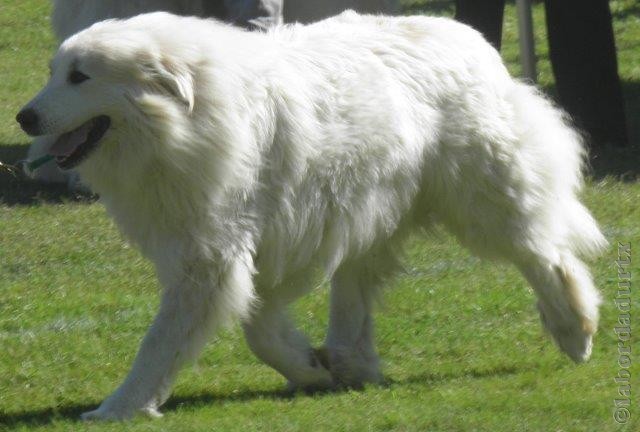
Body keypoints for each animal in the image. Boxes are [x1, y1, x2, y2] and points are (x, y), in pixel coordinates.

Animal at [16, 11, 604, 420]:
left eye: (80, 76)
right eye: (53, 72)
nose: (24, 117)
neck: (186, 122)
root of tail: (467, 37)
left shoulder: (212, 259)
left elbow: (161, 343)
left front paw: (118, 408)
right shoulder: (230, 252)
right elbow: (259, 327)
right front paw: (308, 368)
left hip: (483, 201)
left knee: (545, 256)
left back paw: (574, 330)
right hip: (369, 211)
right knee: (355, 294)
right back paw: (348, 362)